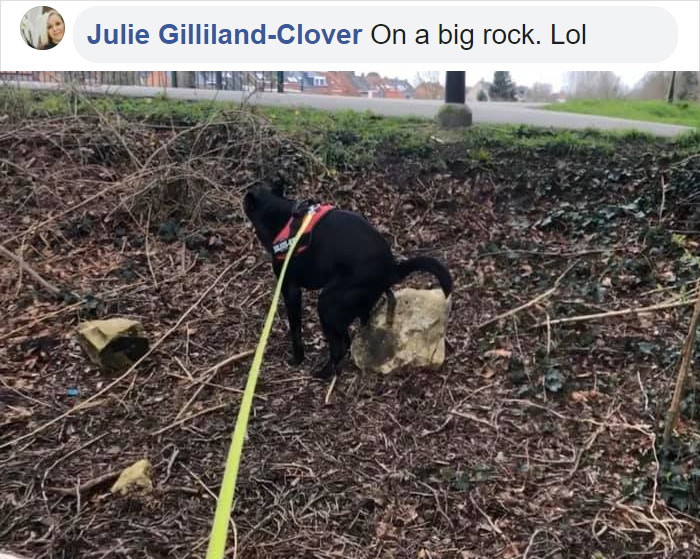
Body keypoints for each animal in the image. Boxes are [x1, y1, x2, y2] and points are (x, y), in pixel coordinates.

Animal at [245, 184, 454, 380]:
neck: (281, 216)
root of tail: (391, 267)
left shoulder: (290, 289)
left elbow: (296, 330)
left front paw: (297, 358)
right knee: (353, 332)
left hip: (328, 303)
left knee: (340, 345)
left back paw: (325, 372)